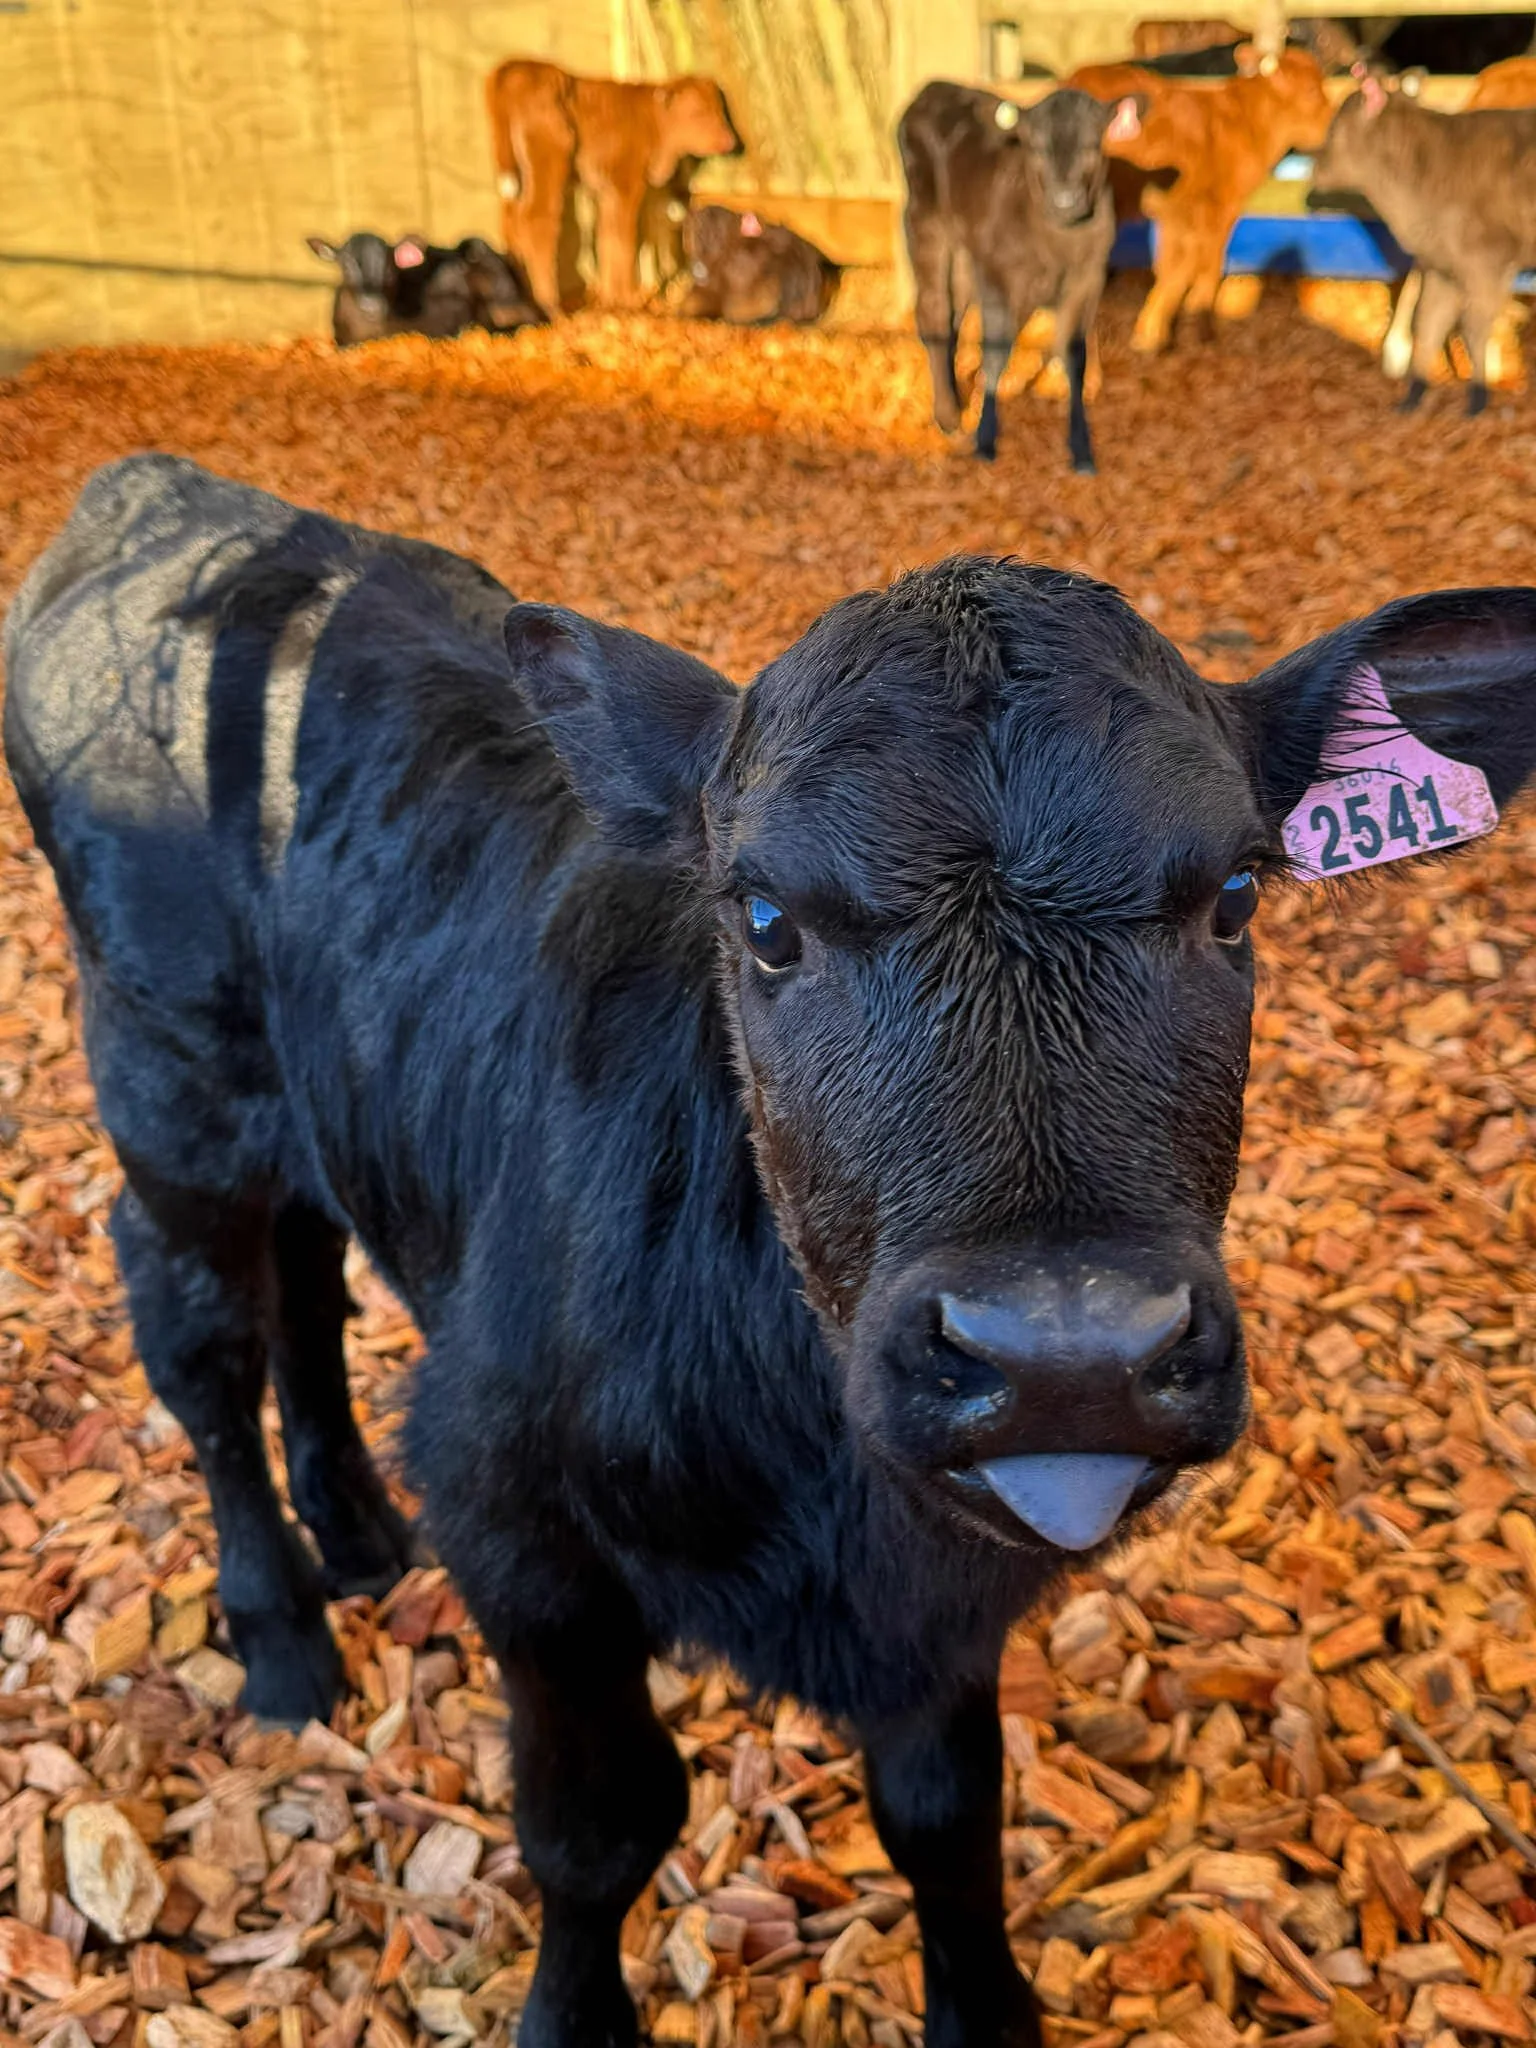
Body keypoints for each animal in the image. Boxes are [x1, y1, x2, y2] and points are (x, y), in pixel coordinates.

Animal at [8, 454, 1536, 2048]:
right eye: (762, 916)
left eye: (1237, 894)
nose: (1069, 1354)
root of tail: (168, 495)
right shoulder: (512, 1514)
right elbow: (599, 1827)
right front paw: (571, 2016)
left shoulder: (939, 1611)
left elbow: (947, 1821)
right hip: (170, 1084)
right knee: (202, 1335)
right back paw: (281, 1631)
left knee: (304, 1277)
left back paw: (360, 1533)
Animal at [485, 59, 740, 316]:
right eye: (698, 112)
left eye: (720, 110)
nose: (729, 140)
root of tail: (517, 66)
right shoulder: (625, 184)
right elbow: (624, 241)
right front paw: (629, 300)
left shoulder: (607, 191)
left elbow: (608, 238)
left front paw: (611, 301)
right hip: (548, 158)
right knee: (536, 219)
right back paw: (552, 306)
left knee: (510, 221)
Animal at [898, 83, 1146, 472]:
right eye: (1037, 147)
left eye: (1091, 143)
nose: (1065, 199)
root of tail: (934, 87)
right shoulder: (995, 275)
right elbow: (996, 355)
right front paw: (985, 437)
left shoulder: (1088, 277)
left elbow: (1074, 356)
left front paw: (1081, 448)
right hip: (925, 222)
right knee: (933, 312)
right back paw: (948, 417)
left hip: (966, 253)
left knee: (953, 315)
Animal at [1069, 48, 1334, 353]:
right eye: (1312, 91)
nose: (1335, 124)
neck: (1250, 125)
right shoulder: (1213, 207)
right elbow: (1200, 262)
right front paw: (1161, 331)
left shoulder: (1176, 213)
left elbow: (1173, 265)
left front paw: (1157, 325)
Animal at [1311, 79, 1536, 413]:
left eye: (1336, 129)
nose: (1315, 171)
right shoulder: (1442, 267)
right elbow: (1428, 323)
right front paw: (1414, 394)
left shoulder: (1487, 262)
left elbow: (1473, 327)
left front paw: (1478, 396)